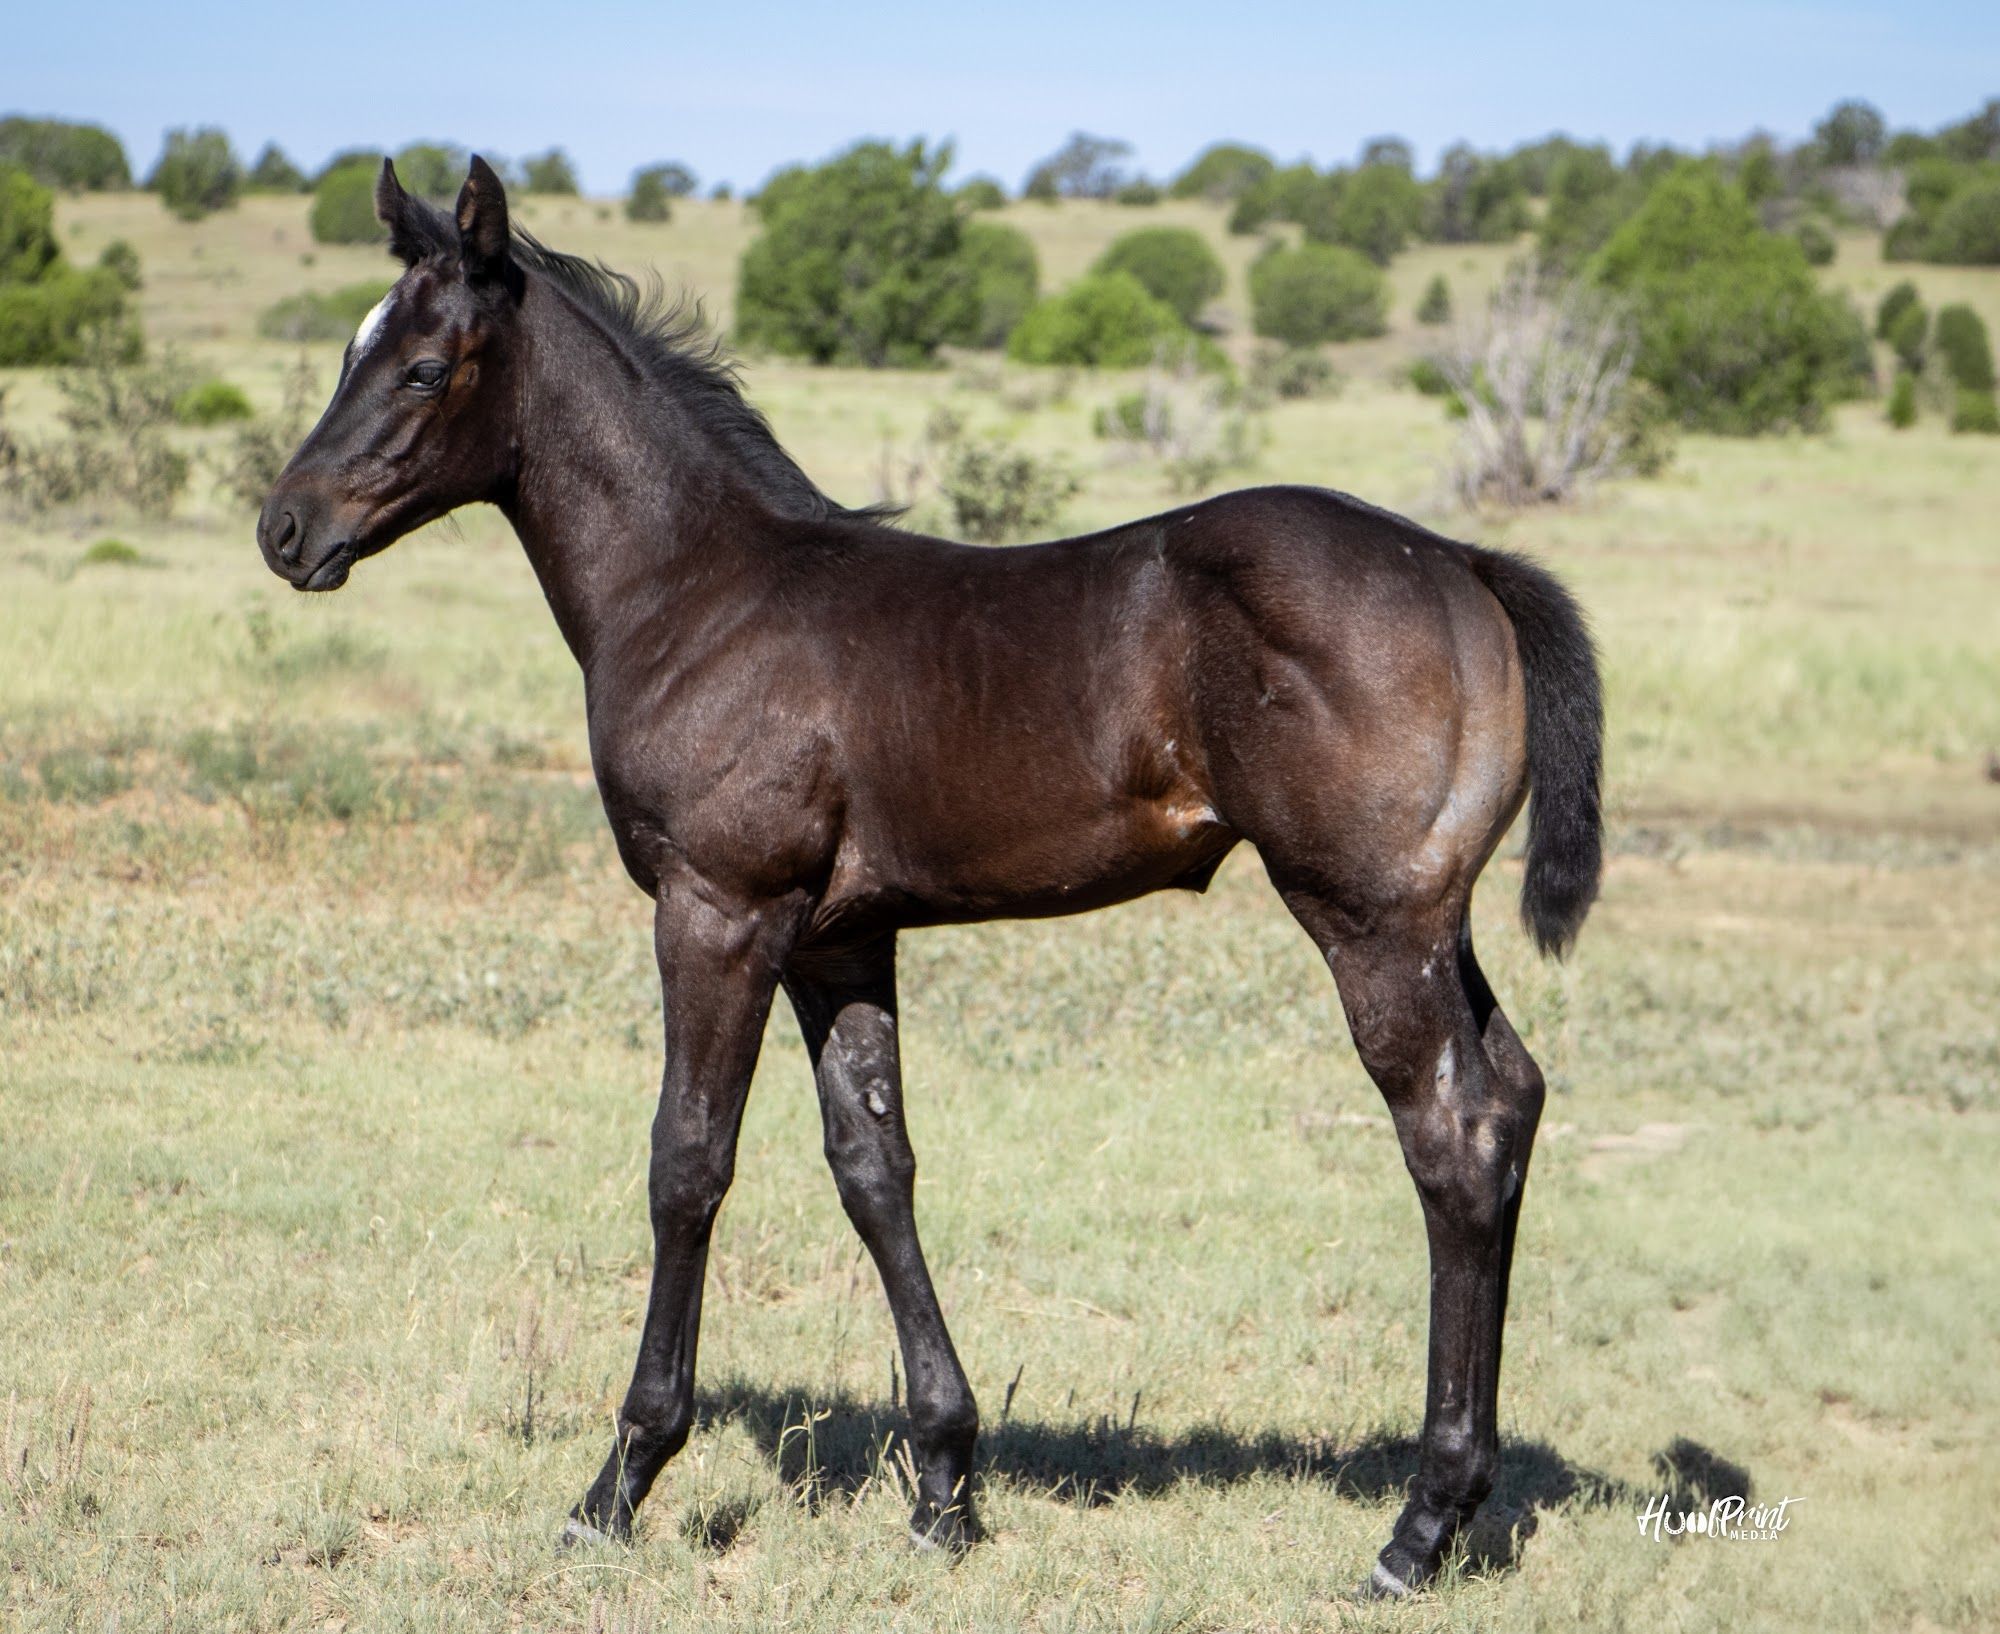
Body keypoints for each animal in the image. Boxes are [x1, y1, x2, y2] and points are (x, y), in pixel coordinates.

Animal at [256, 157, 1602, 1599]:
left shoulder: (719, 910)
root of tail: (1459, 561)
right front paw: (946, 1483)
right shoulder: (836, 937)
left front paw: (620, 1478)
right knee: (1513, 1096)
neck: (702, 591)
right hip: (1430, 920)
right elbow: (873, 1163)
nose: (284, 527)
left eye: (422, 366)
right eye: (351, 350)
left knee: (1452, 1138)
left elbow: (688, 1160)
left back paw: (1418, 1524)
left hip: (1366, 920)